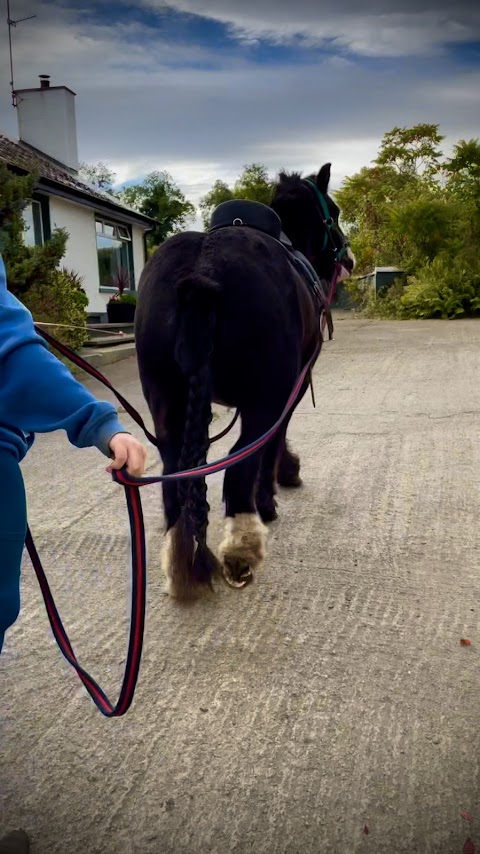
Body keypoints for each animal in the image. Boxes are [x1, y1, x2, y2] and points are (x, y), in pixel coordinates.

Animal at [133, 162, 354, 600]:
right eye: (334, 212)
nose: (349, 258)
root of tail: (203, 269)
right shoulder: (290, 389)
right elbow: (274, 444)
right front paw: (277, 487)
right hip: (263, 401)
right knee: (239, 467)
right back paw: (241, 551)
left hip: (165, 402)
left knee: (176, 475)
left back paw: (182, 563)